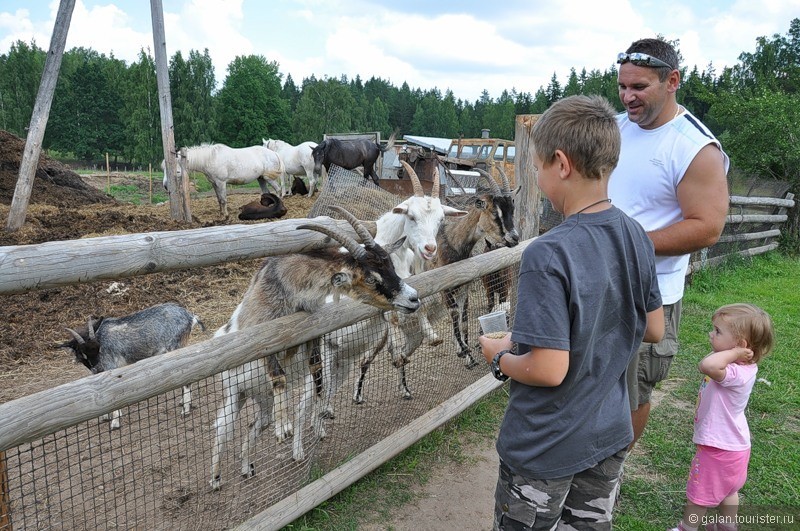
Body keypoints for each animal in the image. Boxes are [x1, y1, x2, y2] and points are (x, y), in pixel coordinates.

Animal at [57, 302, 205, 430]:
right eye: (83, 354)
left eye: (98, 348)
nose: (96, 367)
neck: (101, 336)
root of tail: (190, 316)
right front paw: (106, 416)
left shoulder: (111, 367)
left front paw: (115, 422)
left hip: (175, 348)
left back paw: (185, 410)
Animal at [208, 206, 418, 492]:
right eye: (371, 278)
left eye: (391, 266)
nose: (414, 298)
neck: (290, 284)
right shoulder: (263, 332)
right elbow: (279, 374)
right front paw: (284, 427)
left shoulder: (313, 330)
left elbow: (316, 368)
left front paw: (320, 410)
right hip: (234, 392)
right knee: (222, 428)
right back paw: (216, 479)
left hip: (262, 404)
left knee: (253, 425)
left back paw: (247, 467)